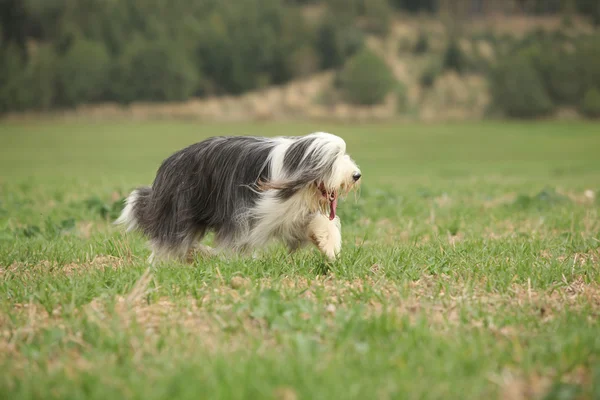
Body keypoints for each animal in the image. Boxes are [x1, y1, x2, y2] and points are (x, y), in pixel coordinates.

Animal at [116, 132, 360, 262]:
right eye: (334, 158)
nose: (356, 175)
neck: (294, 165)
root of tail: (169, 162)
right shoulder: (244, 212)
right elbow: (238, 239)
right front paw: (235, 261)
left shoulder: (287, 213)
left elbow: (315, 222)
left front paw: (328, 245)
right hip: (180, 207)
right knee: (170, 238)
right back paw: (164, 261)